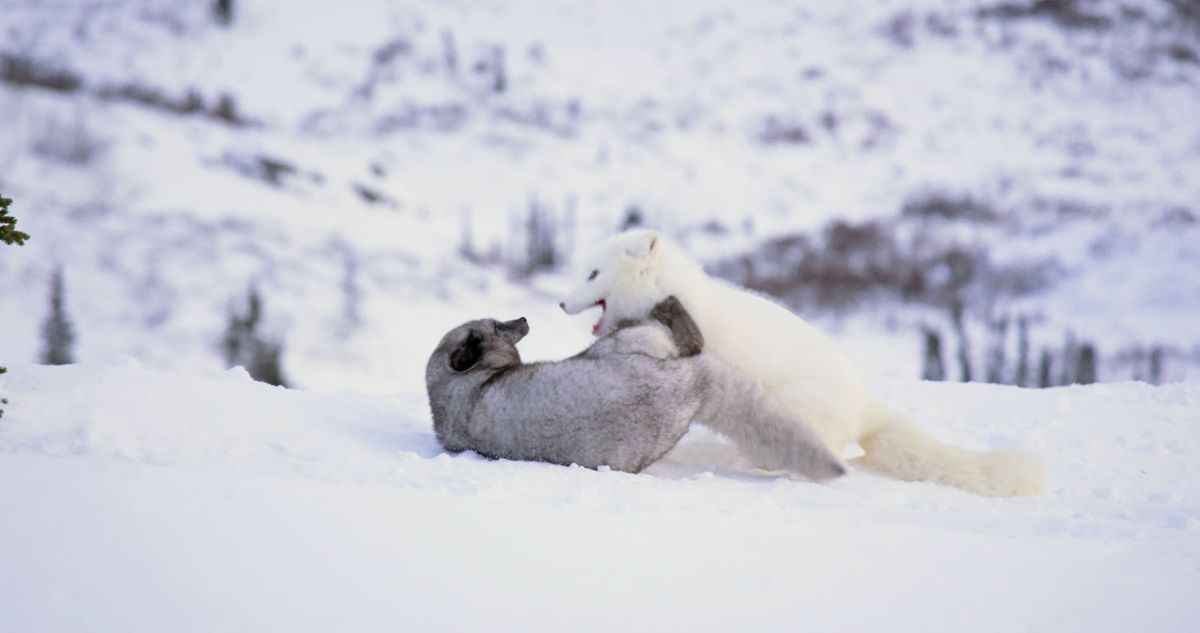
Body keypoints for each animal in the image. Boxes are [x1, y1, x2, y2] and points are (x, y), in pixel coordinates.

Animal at [427, 297, 849, 479]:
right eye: (498, 327)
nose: (524, 319)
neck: (458, 395)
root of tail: (691, 385)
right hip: (626, 345)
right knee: (690, 336)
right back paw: (667, 302)